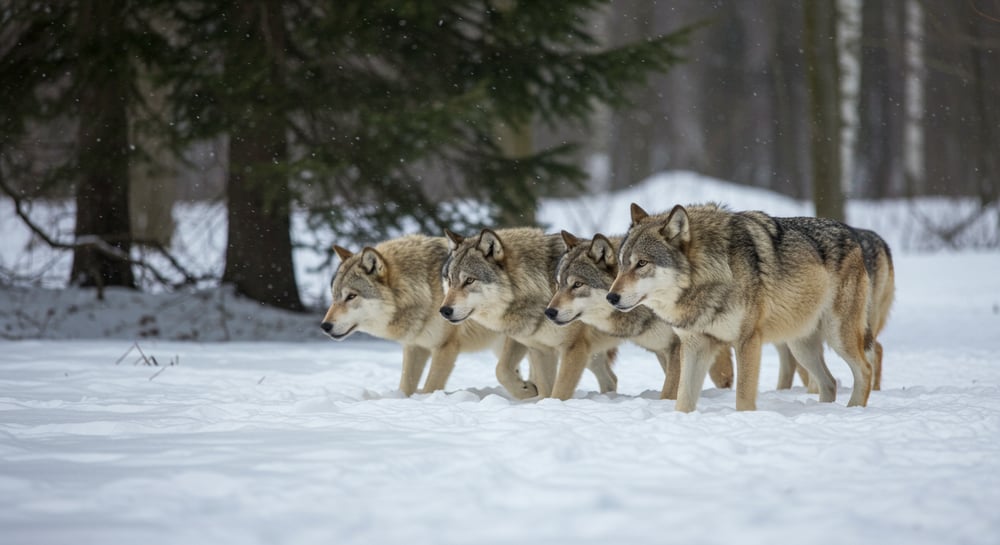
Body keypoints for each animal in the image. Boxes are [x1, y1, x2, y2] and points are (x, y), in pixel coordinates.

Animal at [322, 234, 516, 396]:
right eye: (334, 296)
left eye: (351, 296)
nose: (324, 326)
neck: (425, 288)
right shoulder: (415, 346)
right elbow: (405, 386)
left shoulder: (445, 347)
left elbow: (430, 387)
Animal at [442, 225, 620, 400]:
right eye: (450, 281)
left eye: (469, 280)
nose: (444, 311)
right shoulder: (535, 345)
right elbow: (502, 370)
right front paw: (528, 390)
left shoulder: (573, 348)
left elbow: (559, 391)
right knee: (611, 379)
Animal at [548, 230, 736, 400]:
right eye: (558, 284)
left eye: (577, 284)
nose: (549, 312)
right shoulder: (663, 349)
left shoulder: (677, 347)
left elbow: (669, 391)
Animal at [604, 202, 880, 410]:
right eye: (622, 263)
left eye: (642, 263)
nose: (611, 297)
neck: (711, 274)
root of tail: (851, 234)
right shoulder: (694, 345)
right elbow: (683, 399)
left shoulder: (747, 341)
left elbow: (743, 398)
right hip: (800, 346)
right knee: (830, 382)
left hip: (837, 336)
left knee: (865, 370)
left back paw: (853, 410)